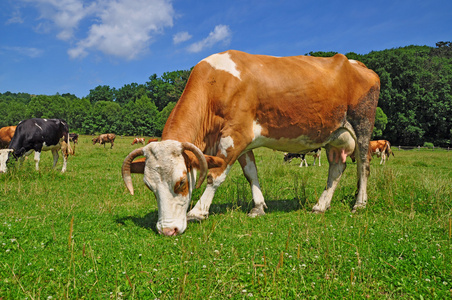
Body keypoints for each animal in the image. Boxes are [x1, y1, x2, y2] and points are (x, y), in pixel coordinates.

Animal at [122, 50, 380, 236]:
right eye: (149, 186)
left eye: (182, 182)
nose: (167, 230)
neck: (217, 84)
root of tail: (357, 64)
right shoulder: (241, 143)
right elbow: (251, 173)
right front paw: (258, 207)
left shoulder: (235, 135)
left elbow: (216, 175)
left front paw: (198, 211)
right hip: (334, 136)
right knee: (336, 168)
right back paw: (321, 205)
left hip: (362, 126)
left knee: (363, 165)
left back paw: (359, 203)